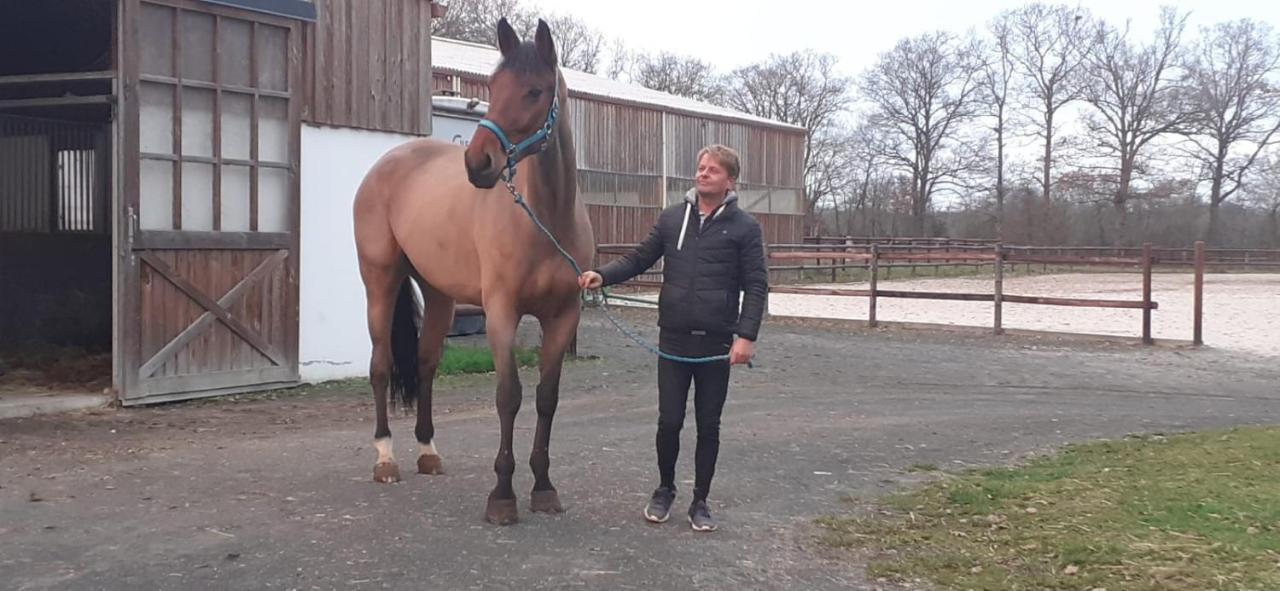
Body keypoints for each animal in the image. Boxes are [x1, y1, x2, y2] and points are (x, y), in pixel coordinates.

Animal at [350, 19, 588, 527]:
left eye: (534, 90)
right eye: (494, 87)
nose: (478, 163)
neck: (546, 218)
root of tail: (385, 164)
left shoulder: (563, 317)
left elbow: (546, 397)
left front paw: (544, 488)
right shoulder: (501, 313)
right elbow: (508, 396)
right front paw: (502, 495)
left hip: (439, 295)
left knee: (424, 363)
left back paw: (427, 452)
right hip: (380, 281)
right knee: (380, 366)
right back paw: (386, 459)